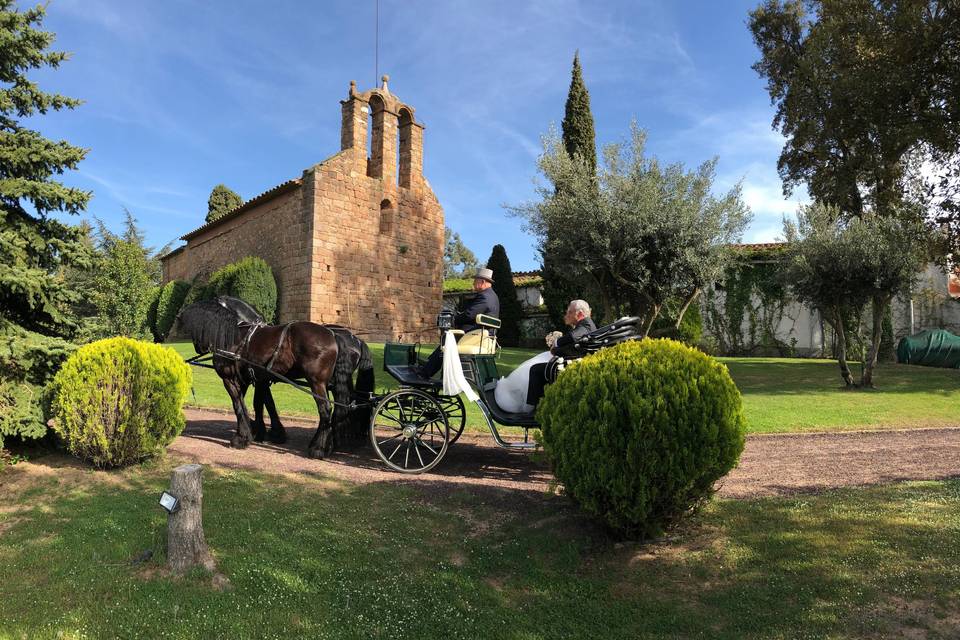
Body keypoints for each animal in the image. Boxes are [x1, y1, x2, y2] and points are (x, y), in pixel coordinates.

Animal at [178, 298, 374, 458]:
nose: (199, 347)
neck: (238, 335)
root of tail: (335, 336)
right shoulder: (254, 379)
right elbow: (259, 404)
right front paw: (260, 431)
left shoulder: (233, 379)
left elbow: (240, 406)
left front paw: (243, 437)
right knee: (343, 409)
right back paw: (331, 444)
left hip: (317, 382)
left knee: (326, 410)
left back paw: (318, 448)